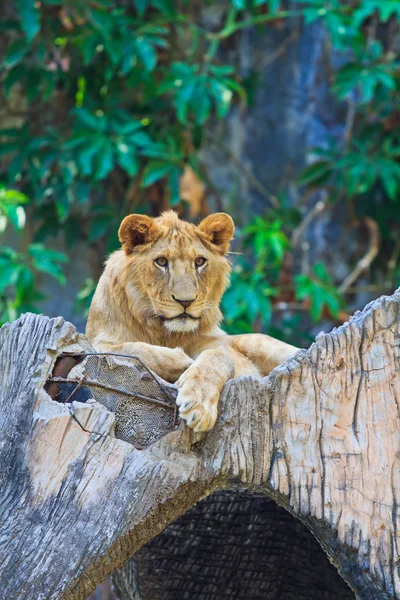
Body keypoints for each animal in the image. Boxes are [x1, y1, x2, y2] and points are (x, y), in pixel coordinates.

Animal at [87, 211, 300, 432]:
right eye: (161, 261)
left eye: (199, 262)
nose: (185, 301)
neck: (164, 332)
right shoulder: (96, 342)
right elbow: (130, 349)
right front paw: (181, 361)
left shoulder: (220, 348)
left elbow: (217, 356)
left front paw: (198, 404)